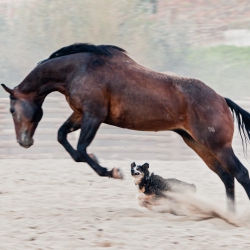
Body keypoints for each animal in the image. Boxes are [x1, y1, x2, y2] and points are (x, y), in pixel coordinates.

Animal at [1, 43, 250, 211]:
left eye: (12, 110)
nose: (24, 141)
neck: (79, 69)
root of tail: (221, 99)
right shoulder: (80, 114)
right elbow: (62, 136)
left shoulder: (94, 116)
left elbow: (81, 149)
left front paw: (111, 171)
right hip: (198, 144)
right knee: (226, 177)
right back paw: (228, 214)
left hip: (218, 145)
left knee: (240, 173)